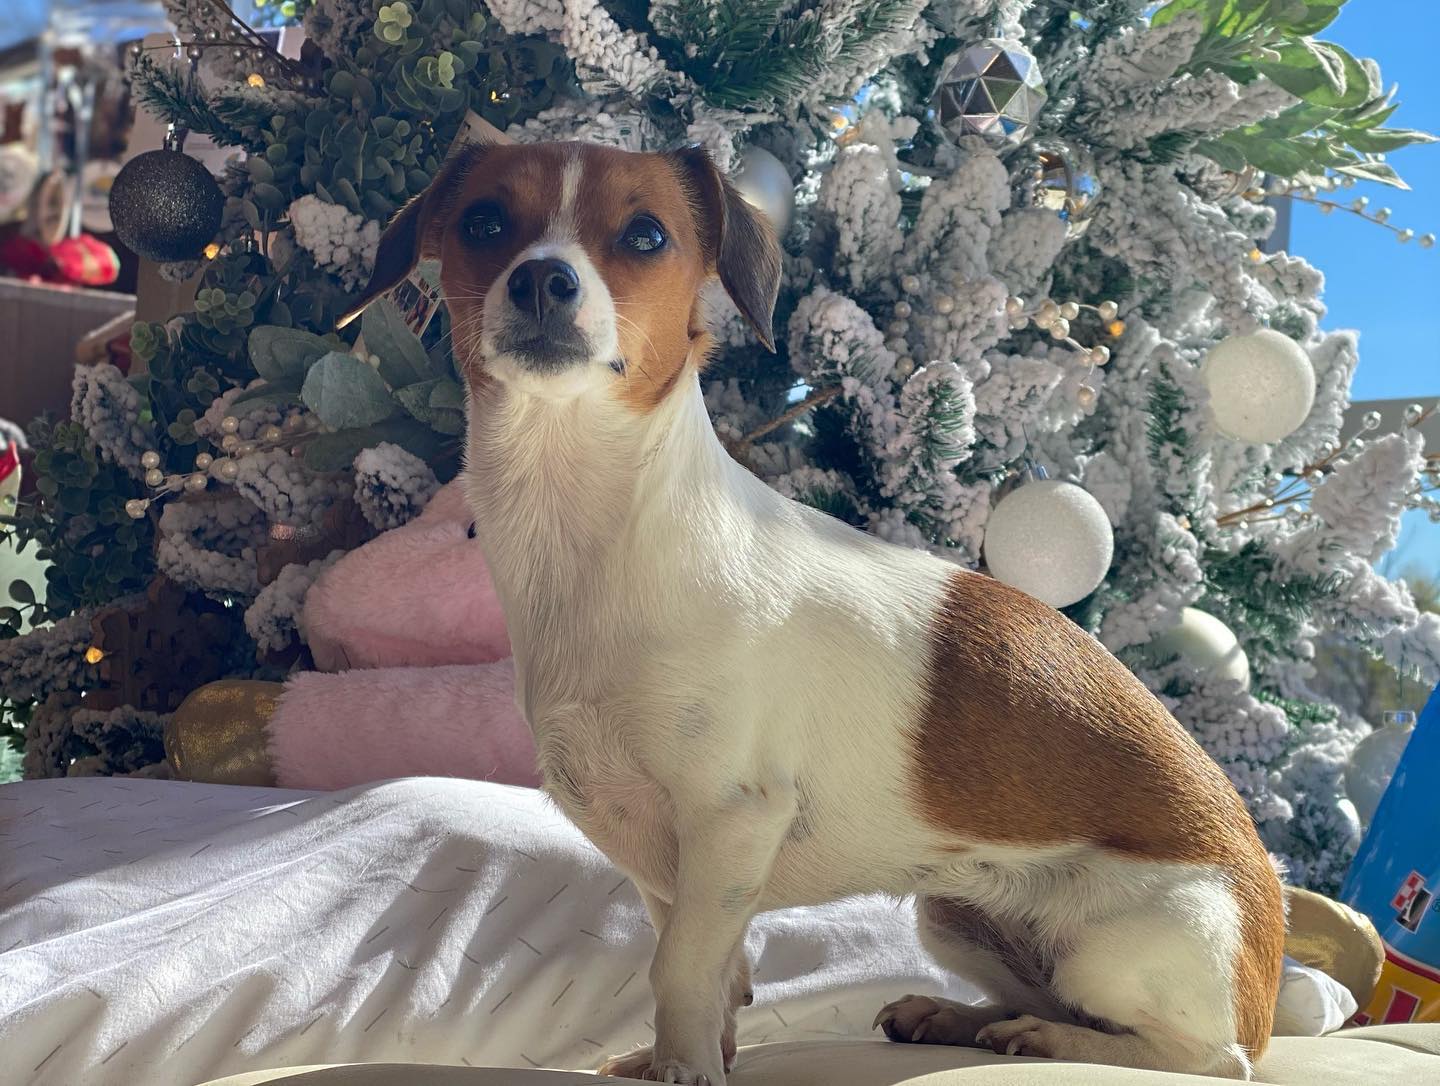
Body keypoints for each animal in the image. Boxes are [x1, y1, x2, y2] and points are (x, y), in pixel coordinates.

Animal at [348, 139, 1284, 1077]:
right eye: (483, 222)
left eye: (646, 235)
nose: (543, 278)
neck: (594, 529)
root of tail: (1269, 941)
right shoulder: (669, 864)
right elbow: (711, 967)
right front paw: (690, 1058)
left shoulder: (732, 818)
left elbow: (679, 967)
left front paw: (685, 1069)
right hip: (956, 917)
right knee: (1053, 1003)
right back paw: (958, 1017)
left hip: (1122, 950)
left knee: (1196, 1057)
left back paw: (1045, 1040)